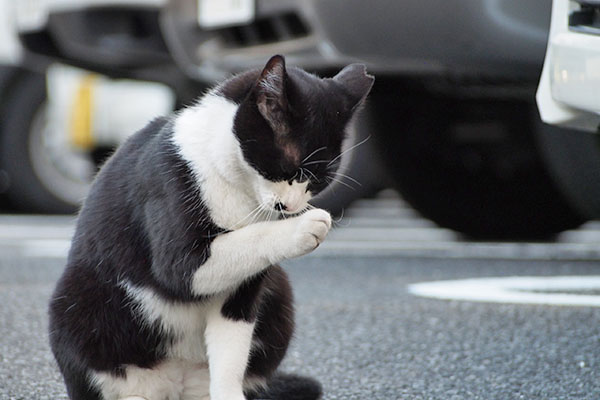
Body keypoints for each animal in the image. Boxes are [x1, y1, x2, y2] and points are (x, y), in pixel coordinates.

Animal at [49, 55, 372, 400]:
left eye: (319, 181)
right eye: (291, 170)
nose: (294, 207)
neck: (236, 186)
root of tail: (172, 386)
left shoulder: (245, 288)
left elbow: (231, 346)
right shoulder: (174, 218)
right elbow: (230, 247)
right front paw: (308, 226)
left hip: (279, 291)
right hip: (76, 304)